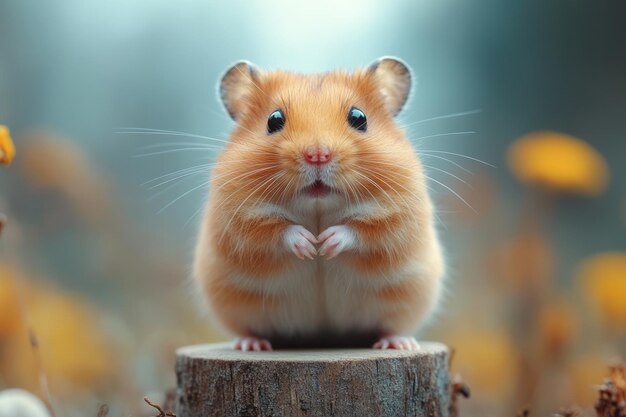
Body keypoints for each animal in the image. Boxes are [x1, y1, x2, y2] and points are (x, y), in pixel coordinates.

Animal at [193, 57, 442, 350]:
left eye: (359, 117)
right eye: (274, 119)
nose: (317, 154)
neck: (318, 205)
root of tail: (322, 337)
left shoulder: (397, 213)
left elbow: (362, 230)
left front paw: (324, 244)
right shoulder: (239, 216)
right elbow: (274, 230)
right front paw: (310, 246)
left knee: (391, 326)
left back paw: (398, 343)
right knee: (249, 329)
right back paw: (250, 344)